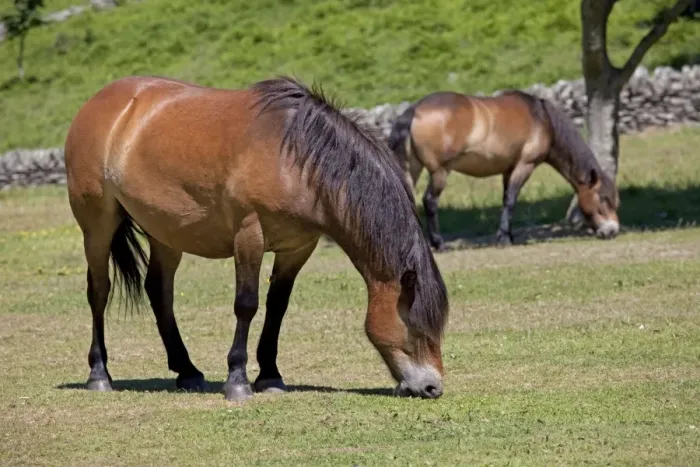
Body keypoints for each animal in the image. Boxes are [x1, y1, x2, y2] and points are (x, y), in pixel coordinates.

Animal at [64, 75, 449, 401]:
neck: (294, 159)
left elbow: (277, 306)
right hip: (97, 225)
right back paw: (99, 374)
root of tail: (99, 104)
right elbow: (246, 304)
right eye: (416, 327)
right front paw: (237, 380)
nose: (432, 387)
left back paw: (187, 370)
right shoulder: (249, 236)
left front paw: (270, 375)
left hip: (165, 232)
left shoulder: (298, 247)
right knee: (99, 291)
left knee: (159, 291)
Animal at [387, 90, 620, 250]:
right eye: (603, 198)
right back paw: (439, 243)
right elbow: (510, 201)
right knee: (430, 201)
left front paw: (507, 235)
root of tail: (416, 109)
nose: (612, 231)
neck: (541, 118)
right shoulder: (524, 166)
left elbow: (505, 200)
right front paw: (504, 238)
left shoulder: (508, 170)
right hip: (439, 172)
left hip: (412, 168)